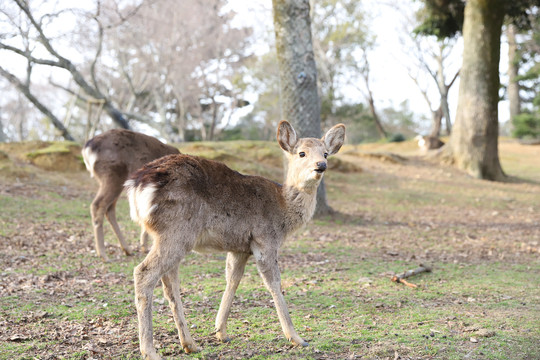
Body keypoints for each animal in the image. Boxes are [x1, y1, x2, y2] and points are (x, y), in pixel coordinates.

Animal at [81, 129, 179, 262]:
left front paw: (144, 246)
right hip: (113, 174)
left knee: (110, 208)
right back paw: (103, 255)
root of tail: (88, 148)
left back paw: (127, 249)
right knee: (98, 204)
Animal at [125, 120, 346, 358]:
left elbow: (232, 280)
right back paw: (149, 350)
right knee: (144, 272)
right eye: (301, 153)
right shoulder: (265, 239)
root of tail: (136, 186)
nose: (320, 165)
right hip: (177, 231)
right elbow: (274, 284)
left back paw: (190, 343)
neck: (283, 210)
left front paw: (221, 332)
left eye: (325, 153)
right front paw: (297, 338)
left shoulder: (240, 248)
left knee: (170, 282)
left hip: (169, 235)